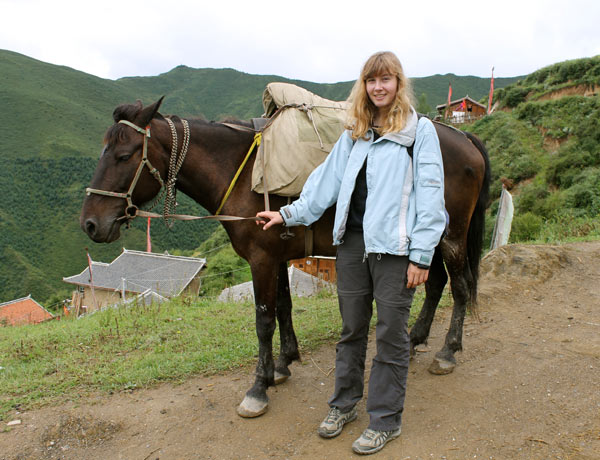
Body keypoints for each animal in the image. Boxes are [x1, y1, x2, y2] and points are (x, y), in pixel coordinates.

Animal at [81, 99, 492, 418]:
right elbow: (283, 307)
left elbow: (263, 321)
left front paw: (258, 388)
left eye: (123, 156)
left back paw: (447, 351)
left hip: (450, 237)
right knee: (436, 284)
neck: (241, 171)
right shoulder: (276, 258)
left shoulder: (261, 260)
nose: (90, 223)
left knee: (459, 287)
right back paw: (416, 338)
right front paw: (282, 364)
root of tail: (463, 137)